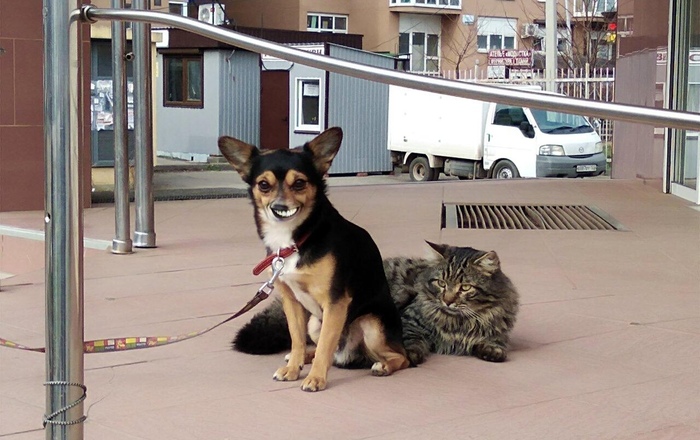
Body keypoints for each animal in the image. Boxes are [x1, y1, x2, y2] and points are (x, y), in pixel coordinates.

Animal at [219, 127, 410, 392]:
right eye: (264, 185)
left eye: (299, 183)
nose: (280, 207)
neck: (294, 241)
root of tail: (349, 355)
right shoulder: (291, 301)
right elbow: (297, 339)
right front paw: (293, 369)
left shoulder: (335, 302)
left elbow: (323, 349)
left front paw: (316, 379)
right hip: (314, 323)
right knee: (321, 347)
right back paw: (299, 358)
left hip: (372, 326)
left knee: (401, 357)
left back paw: (383, 366)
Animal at [235, 242, 520, 366]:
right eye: (440, 283)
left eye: (465, 288)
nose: (447, 299)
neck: (458, 323)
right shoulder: (408, 322)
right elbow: (412, 343)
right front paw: (413, 355)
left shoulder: (496, 329)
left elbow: (496, 342)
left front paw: (492, 351)